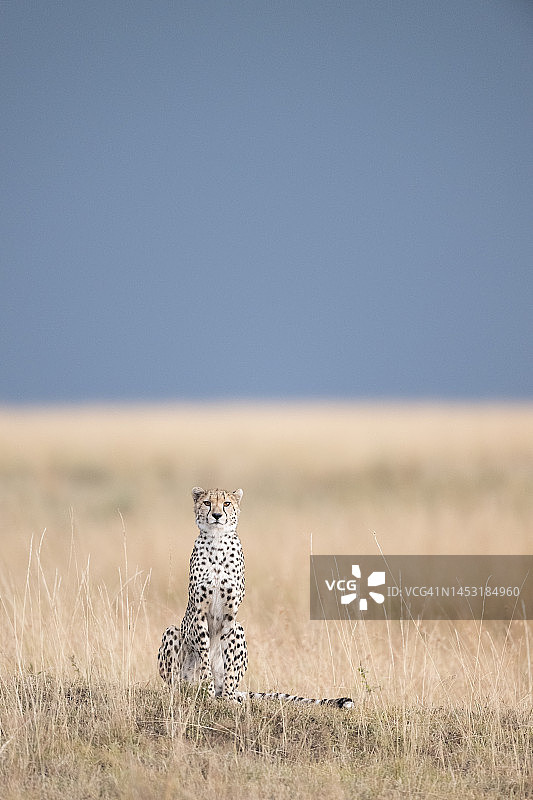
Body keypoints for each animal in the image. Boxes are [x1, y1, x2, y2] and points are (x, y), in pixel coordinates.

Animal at [156, 484, 352, 708]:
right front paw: (207, 690)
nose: (217, 515)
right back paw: (187, 690)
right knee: (177, 680)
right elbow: (204, 656)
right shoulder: (199, 612)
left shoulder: (230, 617)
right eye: (207, 502)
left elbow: (229, 661)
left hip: (240, 629)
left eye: (226, 503)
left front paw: (228, 698)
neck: (217, 541)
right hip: (172, 633)